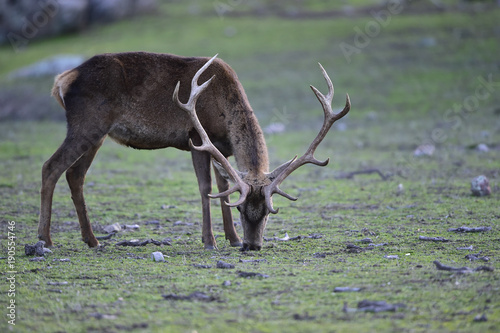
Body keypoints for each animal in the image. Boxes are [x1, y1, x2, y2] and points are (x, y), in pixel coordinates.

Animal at [39, 51, 350, 249]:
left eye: (268, 213)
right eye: (242, 211)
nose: (252, 245)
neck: (224, 106)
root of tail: (62, 79)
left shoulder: (223, 149)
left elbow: (225, 185)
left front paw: (232, 238)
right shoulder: (196, 139)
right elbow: (206, 187)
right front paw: (210, 240)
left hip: (99, 134)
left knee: (75, 175)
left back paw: (91, 239)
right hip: (87, 123)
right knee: (50, 167)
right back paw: (45, 239)